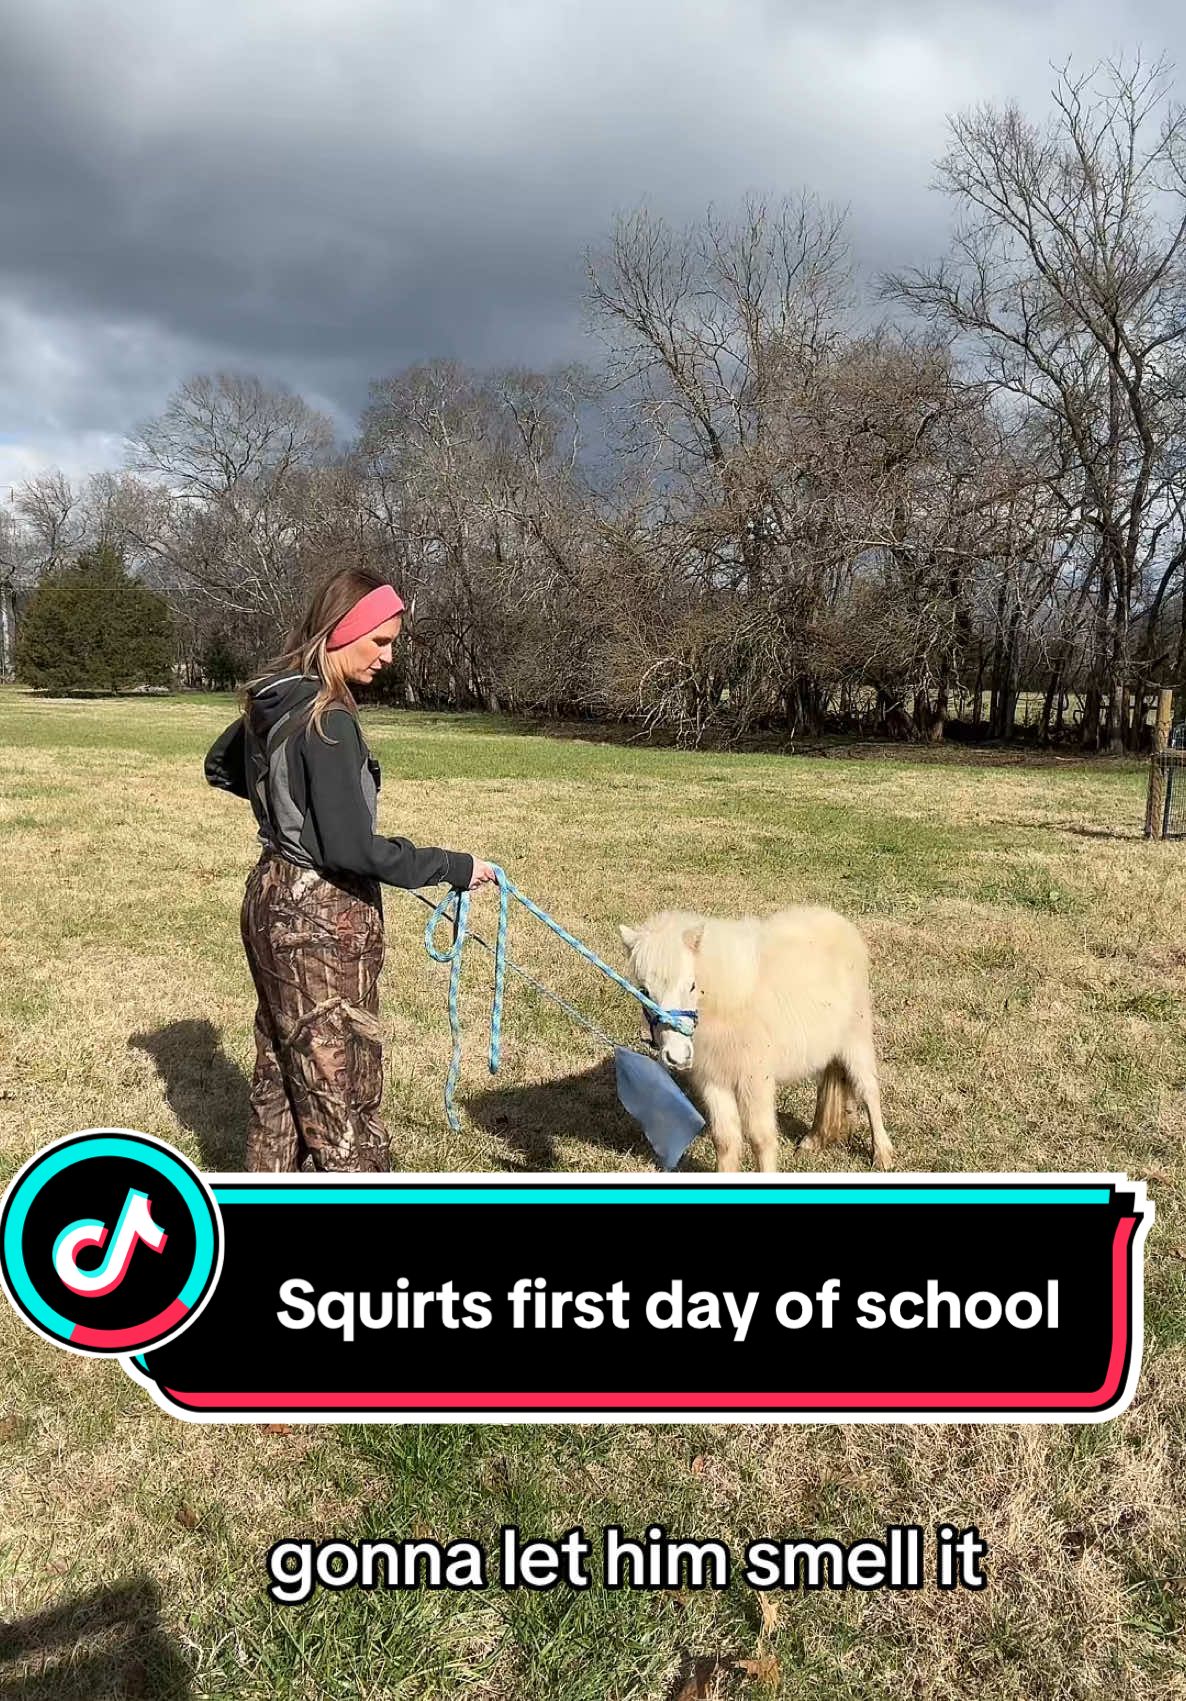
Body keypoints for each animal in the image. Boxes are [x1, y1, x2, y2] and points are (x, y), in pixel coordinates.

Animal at [619, 911, 884, 1177]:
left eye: (692, 985)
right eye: (644, 991)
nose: (677, 1056)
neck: (728, 1003)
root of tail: (840, 923)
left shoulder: (756, 1080)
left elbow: (761, 1139)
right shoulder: (714, 1080)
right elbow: (724, 1140)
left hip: (856, 1039)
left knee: (869, 1089)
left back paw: (882, 1155)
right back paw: (814, 1140)